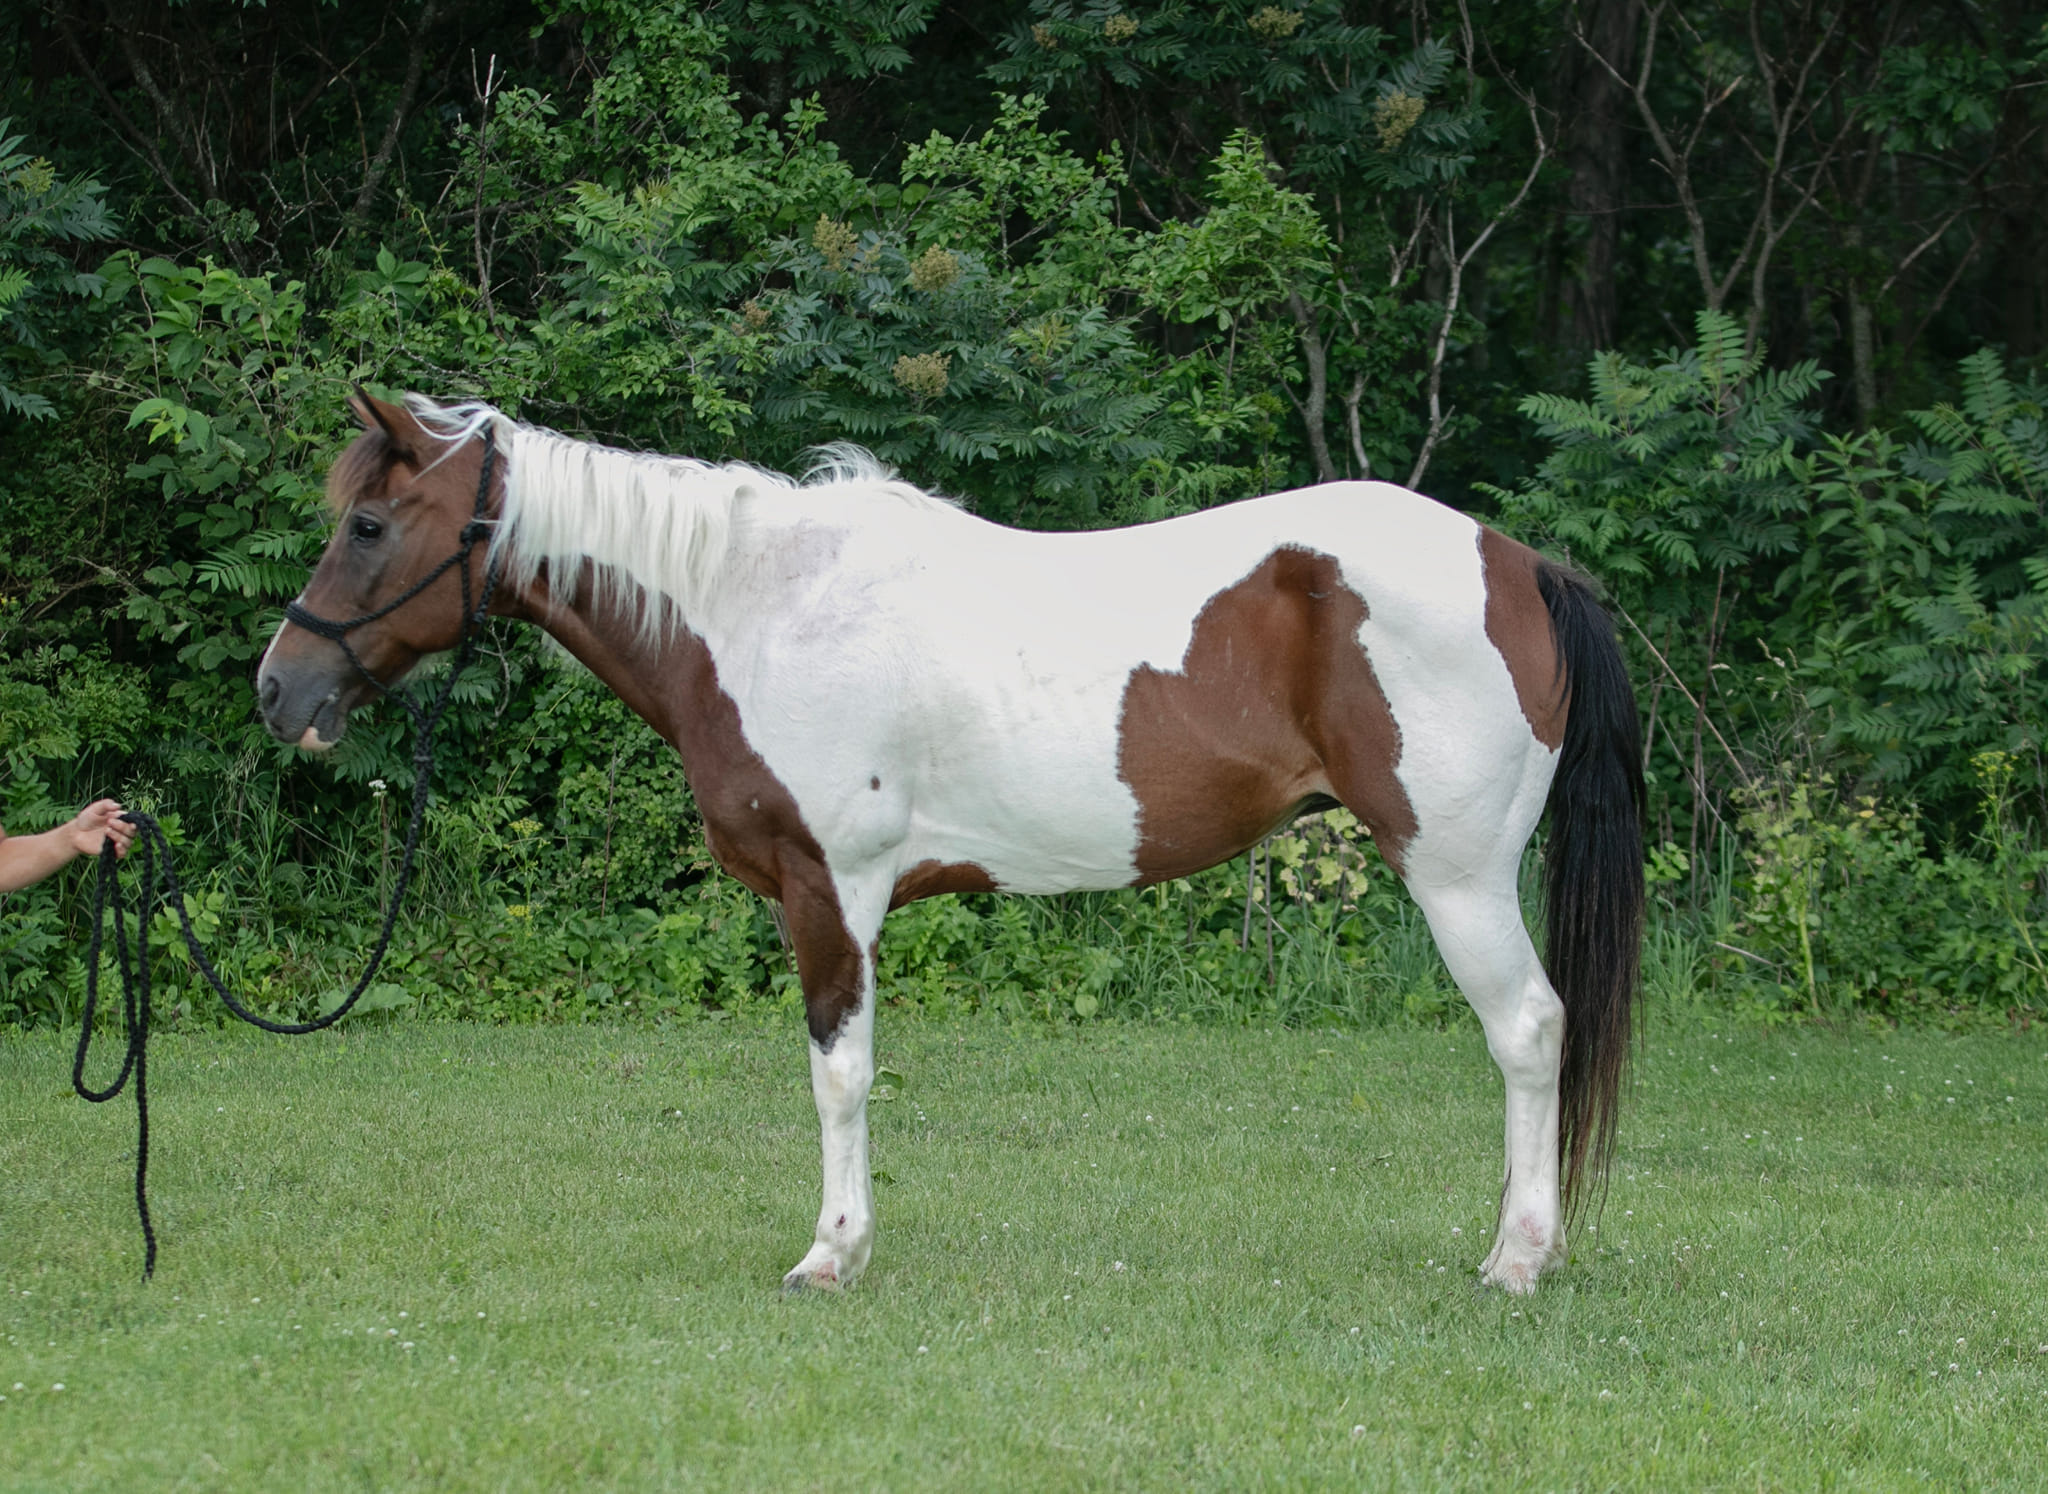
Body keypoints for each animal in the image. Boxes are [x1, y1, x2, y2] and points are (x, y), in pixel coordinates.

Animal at [256, 391, 1643, 1295]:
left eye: (368, 526)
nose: (281, 690)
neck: (760, 608)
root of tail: (1517, 563)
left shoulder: (830, 891)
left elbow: (839, 1075)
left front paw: (832, 1253)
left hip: (1457, 876)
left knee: (1528, 1031)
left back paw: (1516, 1260)